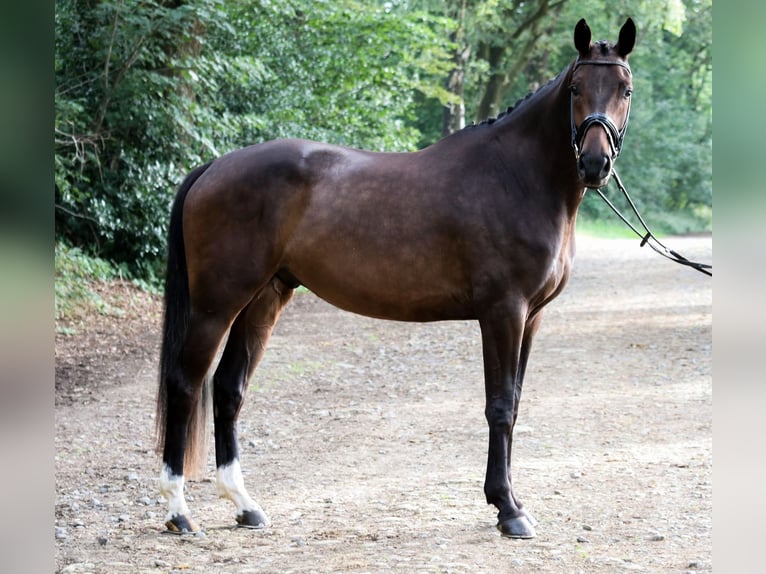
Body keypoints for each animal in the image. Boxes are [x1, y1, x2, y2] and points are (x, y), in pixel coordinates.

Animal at [154, 18, 636, 540]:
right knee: (185, 385)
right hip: (216, 305)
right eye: (576, 88)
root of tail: (214, 167)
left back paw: (245, 506)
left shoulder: (532, 318)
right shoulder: (503, 312)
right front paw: (508, 509)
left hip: (262, 300)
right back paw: (178, 512)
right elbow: (501, 405)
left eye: (625, 89)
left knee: (228, 389)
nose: (595, 164)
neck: (517, 177)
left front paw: (510, 500)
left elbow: (516, 402)